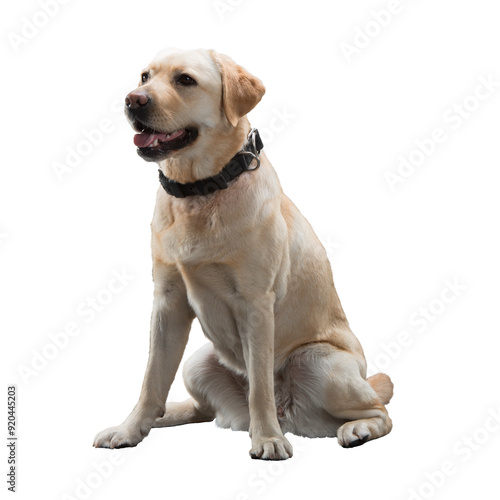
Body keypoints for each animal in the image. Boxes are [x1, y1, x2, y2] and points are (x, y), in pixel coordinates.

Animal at [92, 48, 392, 458]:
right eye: (144, 77)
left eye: (185, 80)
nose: (132, 100)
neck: (201, 188)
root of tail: (291, 414)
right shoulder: (167, 302)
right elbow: (151, 379)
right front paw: (129, 429)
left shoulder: (256, 304)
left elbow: (260, 387)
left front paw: (266, 439)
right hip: (197, 363)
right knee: (199, 408)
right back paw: (166, 415)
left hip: (319, 361)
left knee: (380, 410)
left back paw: (353, 429)